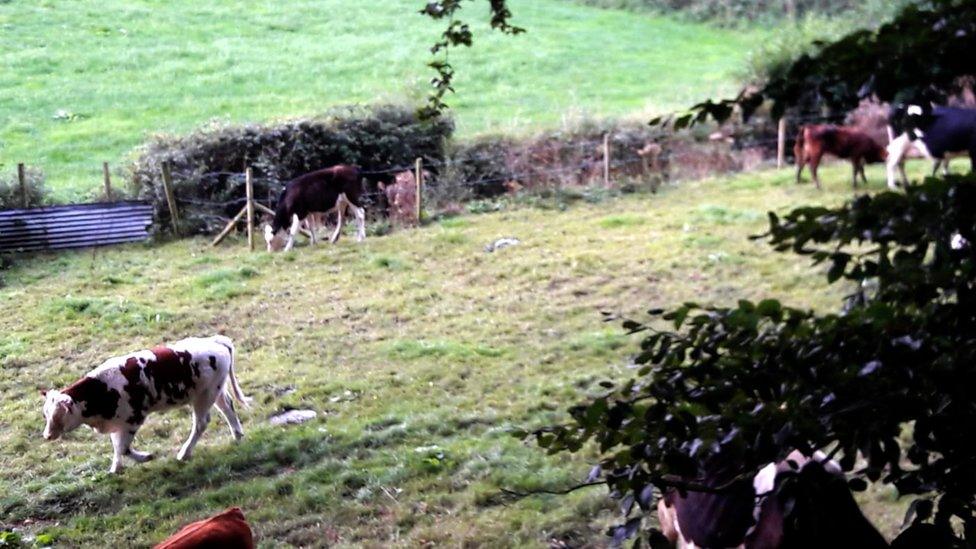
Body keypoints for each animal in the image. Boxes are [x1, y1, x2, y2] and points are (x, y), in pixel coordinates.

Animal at [41, 334, 248, 470]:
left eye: (58, 415)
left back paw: (184, 453)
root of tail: (215, 341)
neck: (101, 389)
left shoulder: (132, 419)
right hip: (215, 391)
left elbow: (123, 448)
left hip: (205, 395)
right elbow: (116, 446)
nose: (47, 435)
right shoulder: (116, 423)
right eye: (46, 414)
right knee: (228, 407)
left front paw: (145, 457)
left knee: (201, 423)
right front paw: (115, 468)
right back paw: (237, 435)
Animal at [264, 164, 394, 252]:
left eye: (270, 240)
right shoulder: (308, 212)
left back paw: (361, 238)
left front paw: (287, 249)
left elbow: (293, 230)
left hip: (352, 196)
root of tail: (354, 169)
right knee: (342, 219)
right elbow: (311, 227)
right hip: (342, 201)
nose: (269, 252)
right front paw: (314, 242)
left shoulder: (300, 212)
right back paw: (335, 239)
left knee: (360, 213)